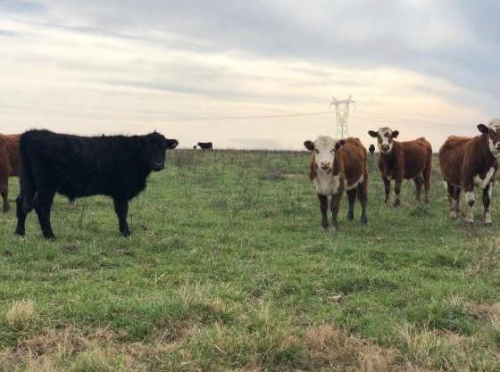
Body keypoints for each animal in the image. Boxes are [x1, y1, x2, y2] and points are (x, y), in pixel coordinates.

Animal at [15, 129, 178, 240]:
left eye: (164, 147)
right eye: (147, 148)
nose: (158, 164)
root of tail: (30, 133)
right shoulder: (121, 191)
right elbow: (122, 212)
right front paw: (126, 232)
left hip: (28, 181)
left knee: (21, 202)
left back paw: (20, 232)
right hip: (47, 186)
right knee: (41, 206)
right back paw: (50, 236)